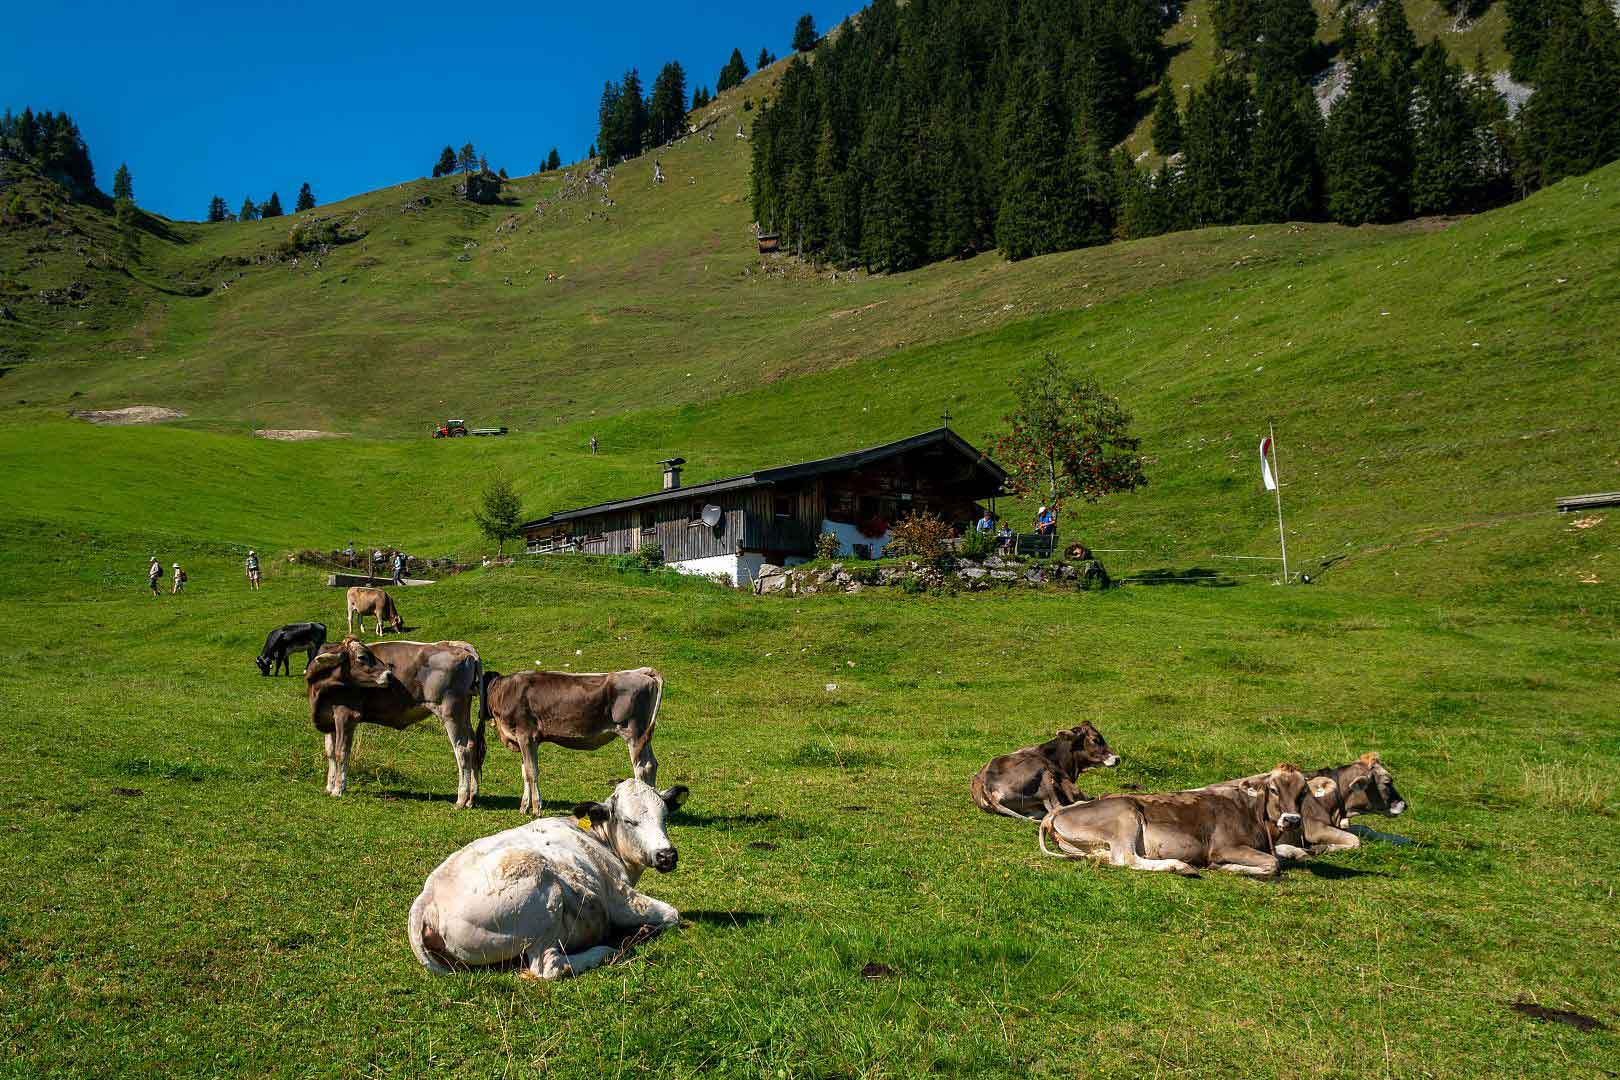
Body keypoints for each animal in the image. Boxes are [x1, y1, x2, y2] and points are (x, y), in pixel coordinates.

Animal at [302, 637, 479, 806]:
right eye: (362, 657)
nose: (389, 674)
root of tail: (457, 647)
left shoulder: (346, 715)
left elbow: (341, 752)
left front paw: (338, 789)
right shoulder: (329, 719)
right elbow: (330, 752)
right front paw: (329, 786)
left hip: (450, 712)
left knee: (462, 750)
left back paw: (461, 798)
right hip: (464, 713)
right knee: (473, 745)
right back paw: (471, 798)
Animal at [405, 777, 690, 977]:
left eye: (665, 816)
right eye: (629, 821)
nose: (667, 855)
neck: (599, 838)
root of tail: (428, 896)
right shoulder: (622, 900)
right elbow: (672, 914)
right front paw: (643, 930)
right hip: (546, 897)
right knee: (548, 966)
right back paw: (605, 951)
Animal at [476, 663, 660, 816]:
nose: (478, 714)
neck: (504, 692)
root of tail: (639, 672)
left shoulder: (526, 736)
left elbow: (531, 772)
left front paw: (536, 808)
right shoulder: (522, 740)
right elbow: (525, 773)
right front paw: (524, 807)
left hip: (633, 733)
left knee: (641, 767)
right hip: (643, 737)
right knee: (651, 764)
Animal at [1036, 761, 1315, 880]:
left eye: (1303, 792)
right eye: (1274, 789)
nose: (1292, 820)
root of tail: (1055, 813)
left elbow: (1281, 853)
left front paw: (1297, 851)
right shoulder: (1224, 847)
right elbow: (1272, 863)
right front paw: (1225, 867)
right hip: (1126, 813)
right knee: (1126, 859)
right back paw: (1179, 866)